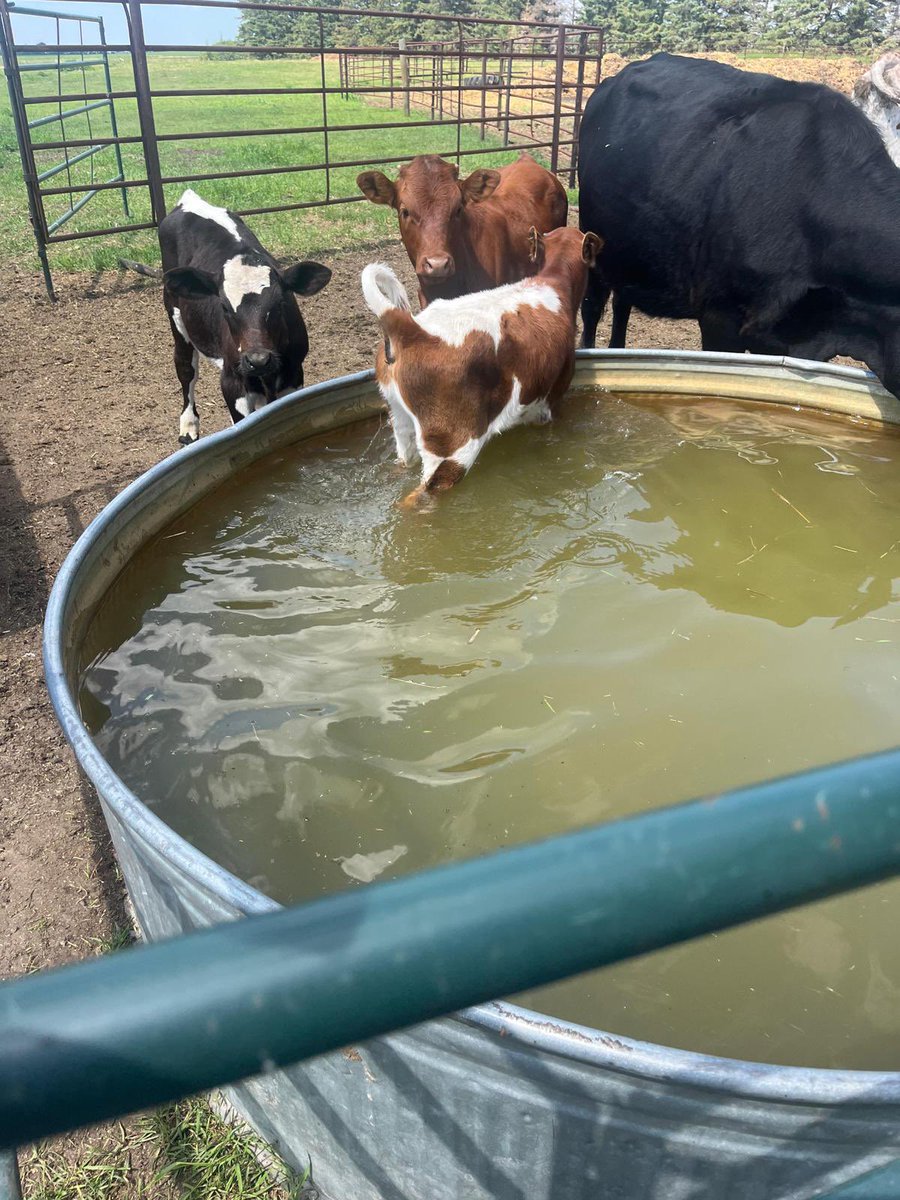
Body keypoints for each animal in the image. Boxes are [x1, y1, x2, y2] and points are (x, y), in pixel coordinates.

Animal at [159, 189, 332, 444]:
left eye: (280, 303)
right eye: (224, 307)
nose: (258, 360)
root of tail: (189, 199)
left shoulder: (294, 372)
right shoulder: (232, 381)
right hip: (176, 318)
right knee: (185, 368)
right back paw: (188, 426)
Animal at [360, 225, 602, 505]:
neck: (553, 280)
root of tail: (410, 327)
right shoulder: (550, 400)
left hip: (399, 417)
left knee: (403, 460)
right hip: (453, 444)